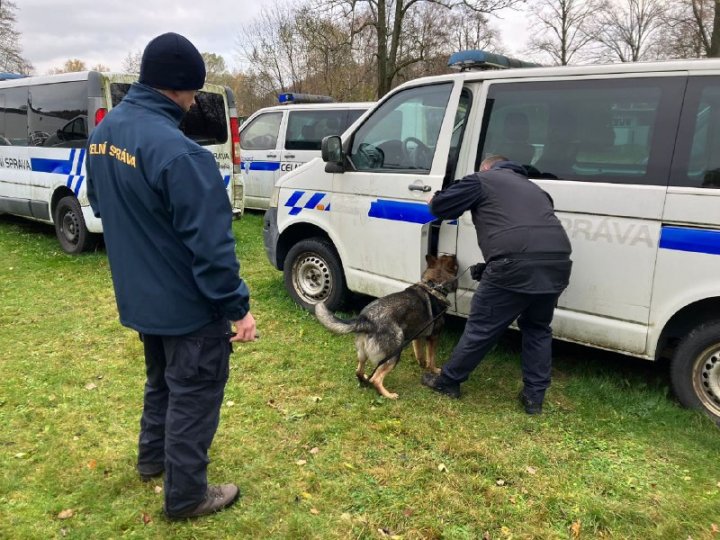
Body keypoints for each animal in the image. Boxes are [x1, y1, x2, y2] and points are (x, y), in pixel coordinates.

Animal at [316, 255, 462, 398]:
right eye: (456, 265)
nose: (455, 256)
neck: (435, 285)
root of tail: (365, 319)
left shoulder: (416, 337)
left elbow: (420, 354)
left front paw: (422, 364)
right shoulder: (433, 337)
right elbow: (431, 359)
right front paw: (434, 370)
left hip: (363, 354)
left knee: (359, 371)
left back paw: (364, 379)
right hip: (394, 353)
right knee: (376, 379)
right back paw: (389, 395)